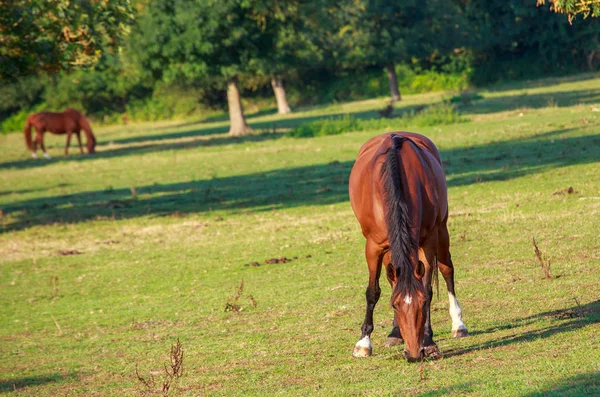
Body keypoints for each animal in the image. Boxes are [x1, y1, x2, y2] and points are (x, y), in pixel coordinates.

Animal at [346, 131, 468, 360]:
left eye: (422, 304)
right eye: (394, 304)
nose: (413, 354)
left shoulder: (427, 241)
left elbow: (428, 288)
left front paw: (429, 342)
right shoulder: (373, 246)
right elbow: (373, 291)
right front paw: (363, 343)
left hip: (442, 230)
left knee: (447, 269)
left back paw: (459, 325)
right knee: (392, 280)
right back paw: (395, 334)